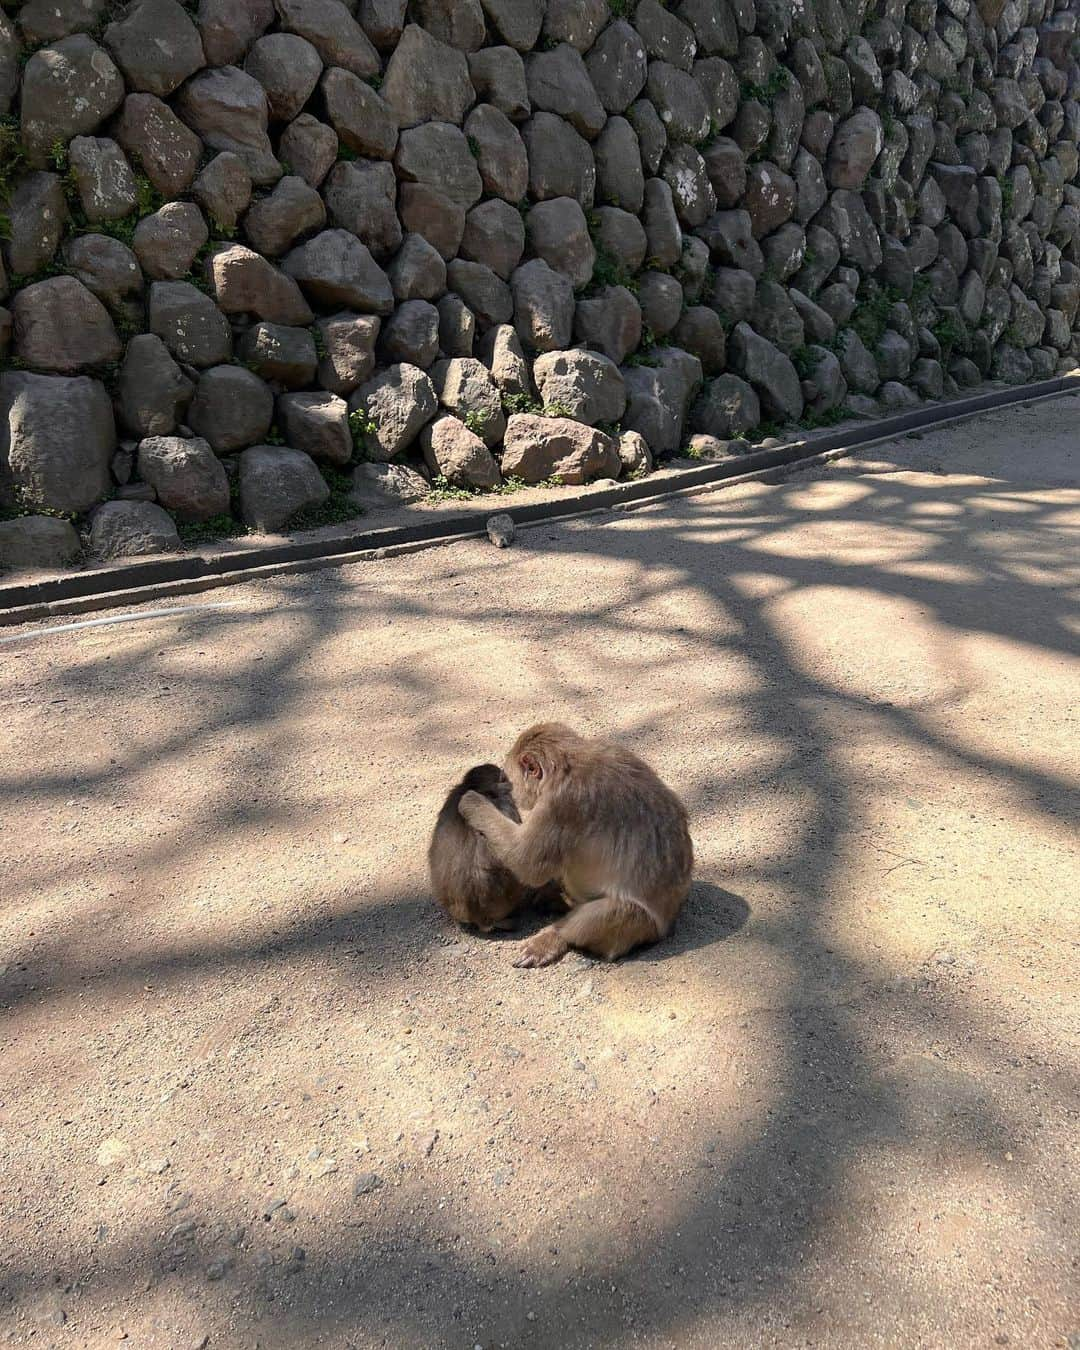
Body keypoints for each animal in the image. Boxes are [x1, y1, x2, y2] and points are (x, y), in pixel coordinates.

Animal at [456, 723, 691, 966]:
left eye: (507, 779)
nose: (513, 792)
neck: (568, 764)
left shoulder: (560, 804)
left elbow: (527, 863)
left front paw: (471, 801)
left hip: (643, 928)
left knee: (615, 911)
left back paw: (554, 936)